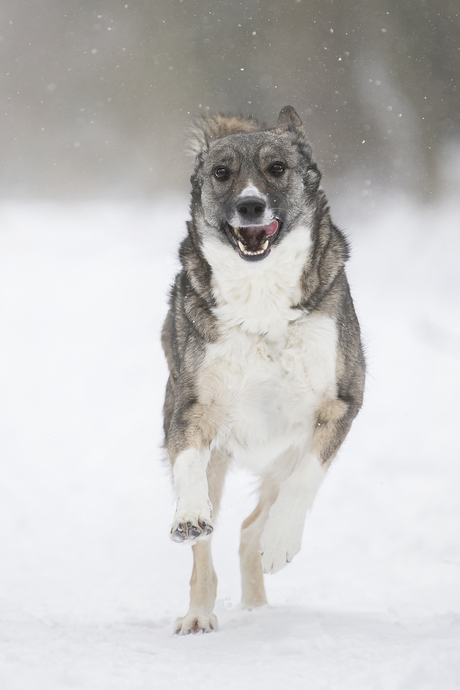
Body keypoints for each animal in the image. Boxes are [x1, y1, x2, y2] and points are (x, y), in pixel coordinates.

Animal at [160, 106, 364, 636]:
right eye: (221, 172)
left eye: (277, 168)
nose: (250, 206)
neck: (261, 295)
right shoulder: (192, 407)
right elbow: (187, 467)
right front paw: (189, 514)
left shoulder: (339, 404)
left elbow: (306, 479)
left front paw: (281, 543)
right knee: (208, 549)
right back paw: (200, 613)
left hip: (283, 453)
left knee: (254, 525)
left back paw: (260, 589)